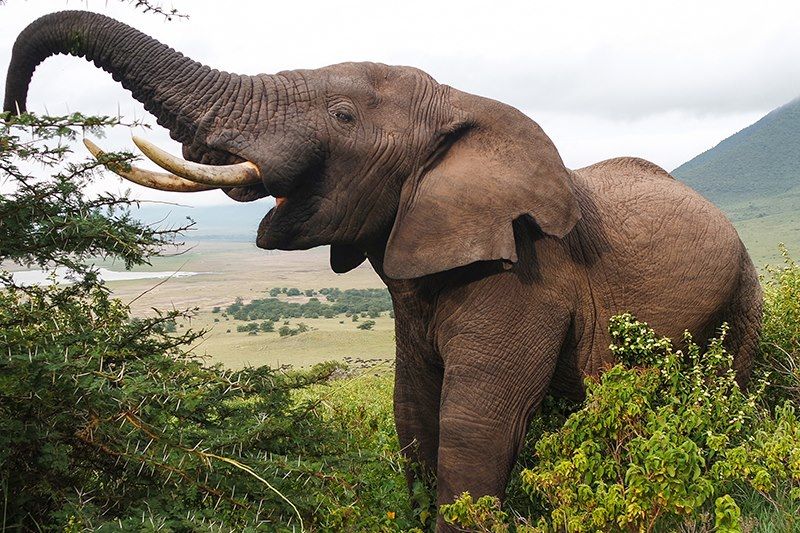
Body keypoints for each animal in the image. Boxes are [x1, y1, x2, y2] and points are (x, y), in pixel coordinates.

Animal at [6, 10, 764, 528]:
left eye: (342, 115)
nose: (17, 113)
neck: (463, 102)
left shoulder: (527, 270)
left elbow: (472, 424)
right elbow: (412, 414)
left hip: (744, 286)